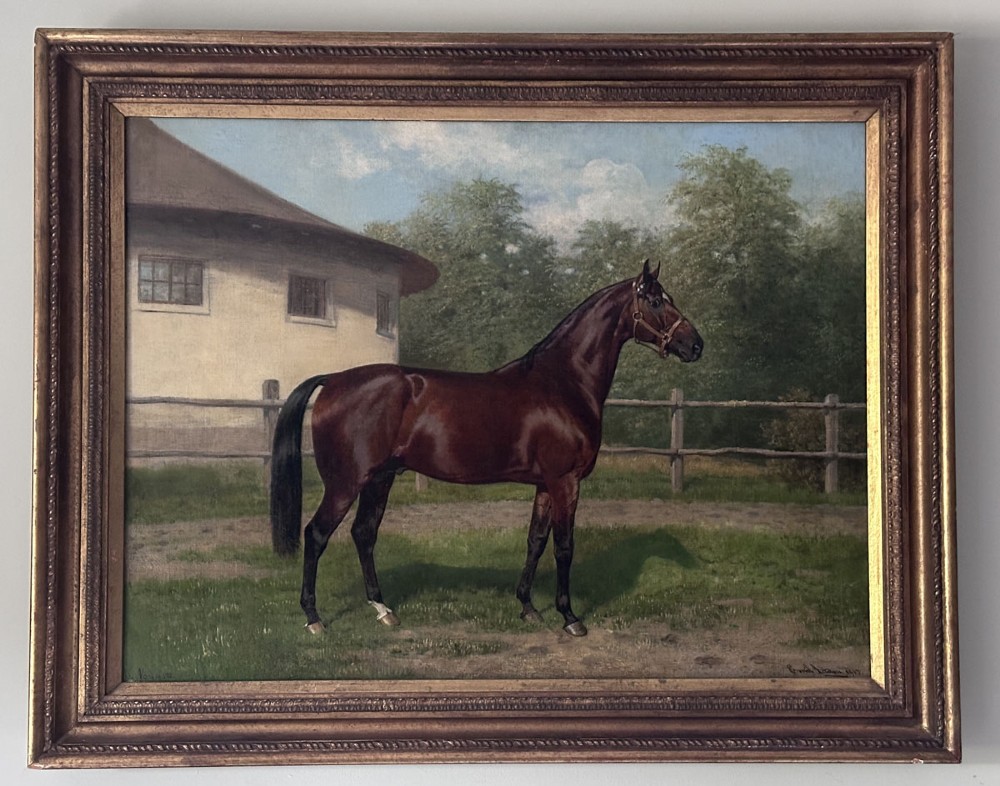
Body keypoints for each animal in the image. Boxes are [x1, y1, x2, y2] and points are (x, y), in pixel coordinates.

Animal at [269, 260, 703, 637]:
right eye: (656, 300)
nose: (695, 345)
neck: (562, 383)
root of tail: (334, 380)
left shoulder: (545, 485)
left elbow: (535, 541)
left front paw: (528, 607)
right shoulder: (566, 482)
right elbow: (564, 546)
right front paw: (569, 617)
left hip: (380, 478)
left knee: (364, 533)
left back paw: (383, 609)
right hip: (346, 483)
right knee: (317, 534)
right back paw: (314, 618)